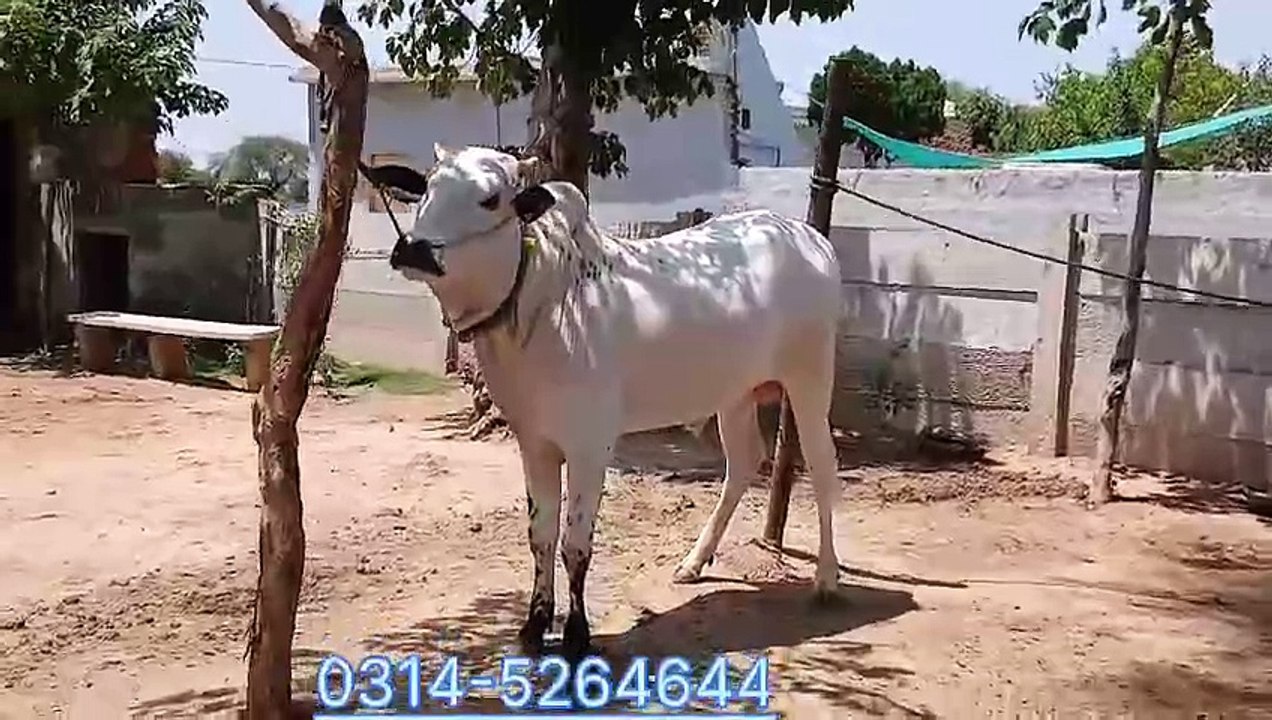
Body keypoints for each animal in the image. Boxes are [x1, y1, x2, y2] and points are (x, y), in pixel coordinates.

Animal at [366, 144, 844, 663]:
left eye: (490, 199)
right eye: (427, 189)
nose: (414, 248)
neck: (543, 308)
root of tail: (808, 236)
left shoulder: (590, 447)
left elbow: (575, 544)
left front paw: (577, 635)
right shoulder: (534, 444)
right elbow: (540, 535)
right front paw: (534, 626)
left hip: (810, 381)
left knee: (822, 467)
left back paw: (826, 578)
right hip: (734, 394)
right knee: (743, 464)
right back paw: (694, 561)